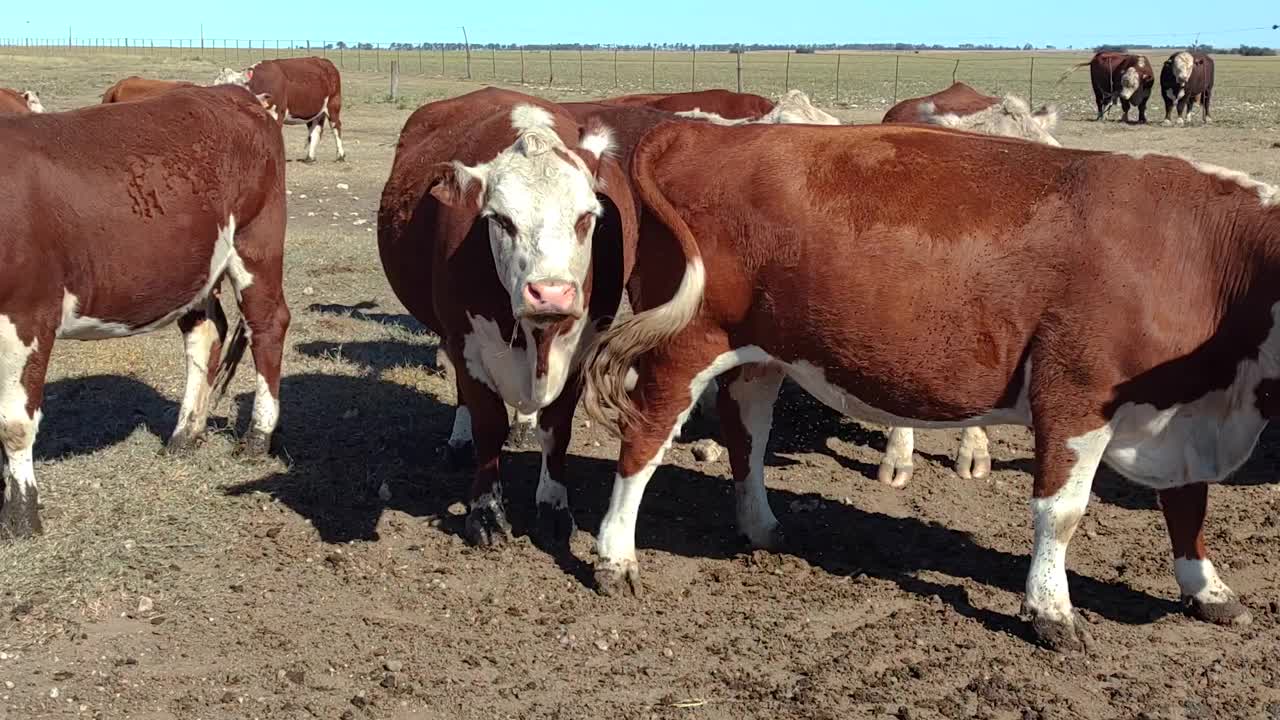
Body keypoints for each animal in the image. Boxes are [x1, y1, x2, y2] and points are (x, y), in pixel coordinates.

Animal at [0, 83, 290, 535]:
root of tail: (232, 92)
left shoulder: (27, 315)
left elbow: (14, 424)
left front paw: (21, 516)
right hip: (195, 265)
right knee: (207, 333)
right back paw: (185, 434)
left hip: (257, 240)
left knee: (267, 327)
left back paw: (257, 437)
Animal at [215, 56, 345, 162]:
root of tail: (325, 62)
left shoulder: (277, 114)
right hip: (314, 111)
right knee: (315, 129)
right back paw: (310, 157)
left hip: (333, 105)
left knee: (336, 127)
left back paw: (340, 155)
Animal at [373, 85, 645, 543]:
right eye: (500, 219)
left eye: (586, 217)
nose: (550, 293)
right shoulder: (466, 340)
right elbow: (488, 423)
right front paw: (485, 511)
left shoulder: (582, 345)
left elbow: (556, 428)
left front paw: (553, 507)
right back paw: (460, 441)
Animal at [586, 119, 1274, 650]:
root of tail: (698, 129)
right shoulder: (1075, 395)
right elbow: (1061, 514)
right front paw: (1051, 611)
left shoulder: (1186, 417)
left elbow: (1188, 503)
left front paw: (1208, 589)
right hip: (683, 345)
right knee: (644, 441)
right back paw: (616, 558)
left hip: (762, 354)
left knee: (746, 434)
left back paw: (761, 527)